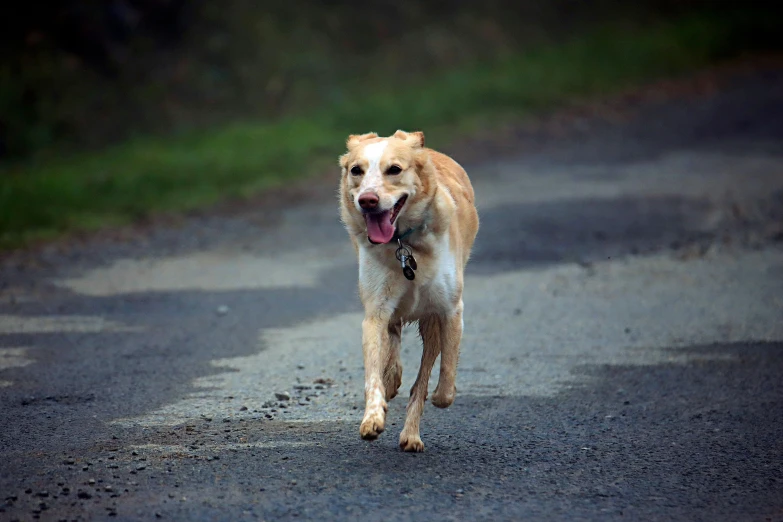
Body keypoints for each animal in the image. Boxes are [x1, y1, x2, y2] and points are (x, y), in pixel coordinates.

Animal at [336, 128, 478, 448]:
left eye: (394, 169)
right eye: (356, 170)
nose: (368, 200)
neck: (404, 243)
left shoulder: (449, 312)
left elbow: (444, 378)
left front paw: (438, 397)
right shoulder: (375, 312)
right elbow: (373, 374)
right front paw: (373, 418)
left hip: (432, 324)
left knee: (422, 379)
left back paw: (411, 435)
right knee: (393, 345)